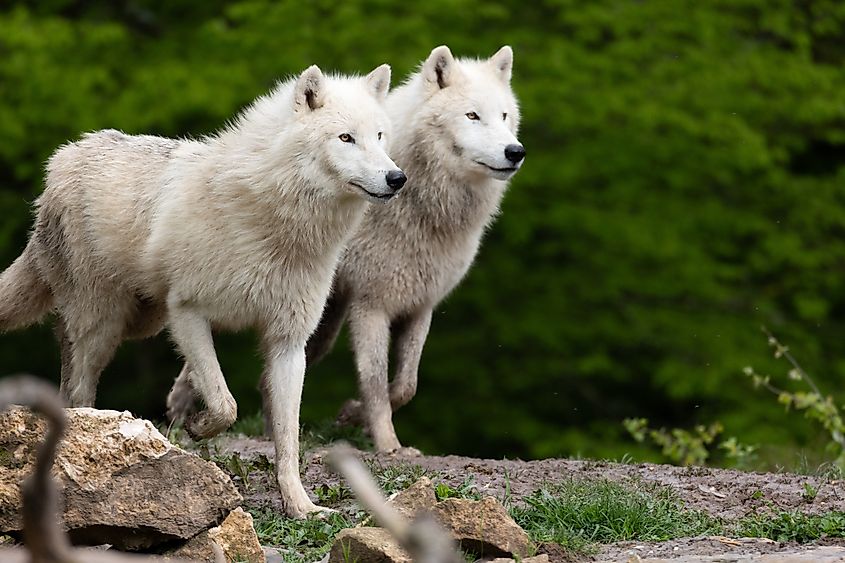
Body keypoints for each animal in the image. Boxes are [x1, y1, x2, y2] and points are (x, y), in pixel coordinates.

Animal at [0, 64, 405, 516]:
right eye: (346, 138)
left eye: (380, 136)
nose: (397, 178)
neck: (278, 228)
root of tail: (65, 157)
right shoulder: (188, 313)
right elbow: (226, 403)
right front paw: (196, 427)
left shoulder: (288, 342)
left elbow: (288, 436)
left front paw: (301, 506)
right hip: (105, 327)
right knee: (78, 389)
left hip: (137, 322)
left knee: (66, 367)